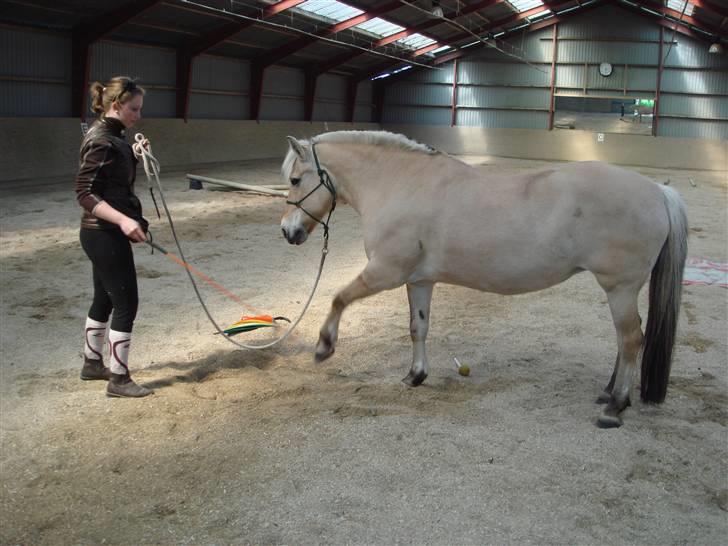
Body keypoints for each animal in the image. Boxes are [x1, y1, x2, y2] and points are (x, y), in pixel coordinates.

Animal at [280, 131, 688, 424]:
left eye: (296, 179)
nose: (288, 231)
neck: (402, 184)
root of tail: (658, 191)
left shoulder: (385, 272)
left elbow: (338, 297)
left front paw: (324, 347)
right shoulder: (419, 280)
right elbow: (418, 327)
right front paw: (415, 375)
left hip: (619, 288)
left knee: (631, 339)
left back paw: (615, 406)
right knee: (626, 339)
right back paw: (610, 393)